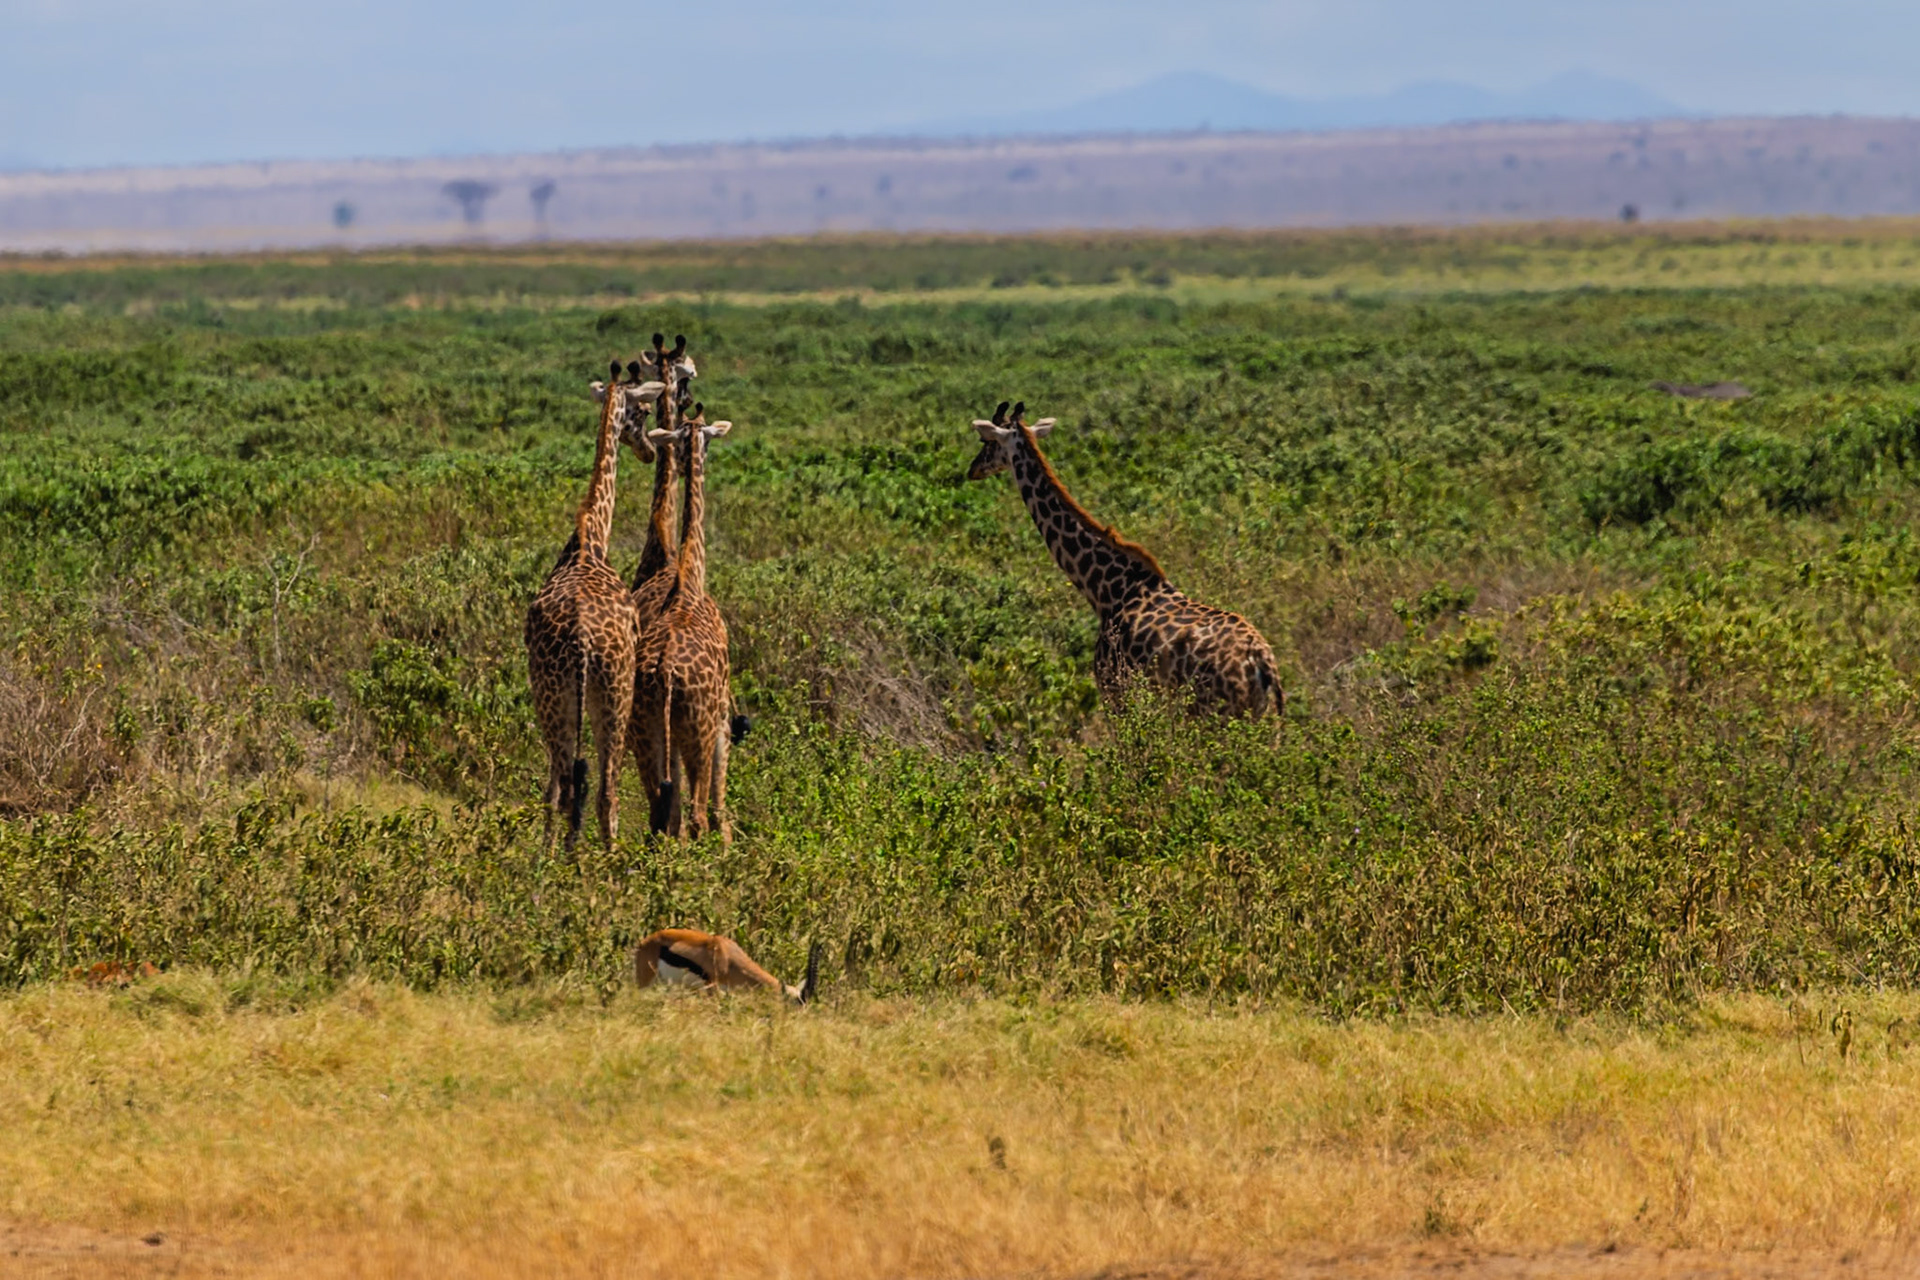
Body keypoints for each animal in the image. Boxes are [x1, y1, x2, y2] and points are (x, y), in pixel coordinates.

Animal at [524, 360, 666, 851]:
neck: (591, 535)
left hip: (552, 695)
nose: (648, 450)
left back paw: (553, 858)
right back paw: (603, 860)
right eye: (642, 413)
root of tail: (584, 641)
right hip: (616, 694)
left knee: (562, 784)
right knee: (604, 789)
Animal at [966, 400, 1281, 717]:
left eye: (987, 442)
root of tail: (1262, 663)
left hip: (1213, 713)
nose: (972, 469)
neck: (1106, 590)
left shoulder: (1114, 690)